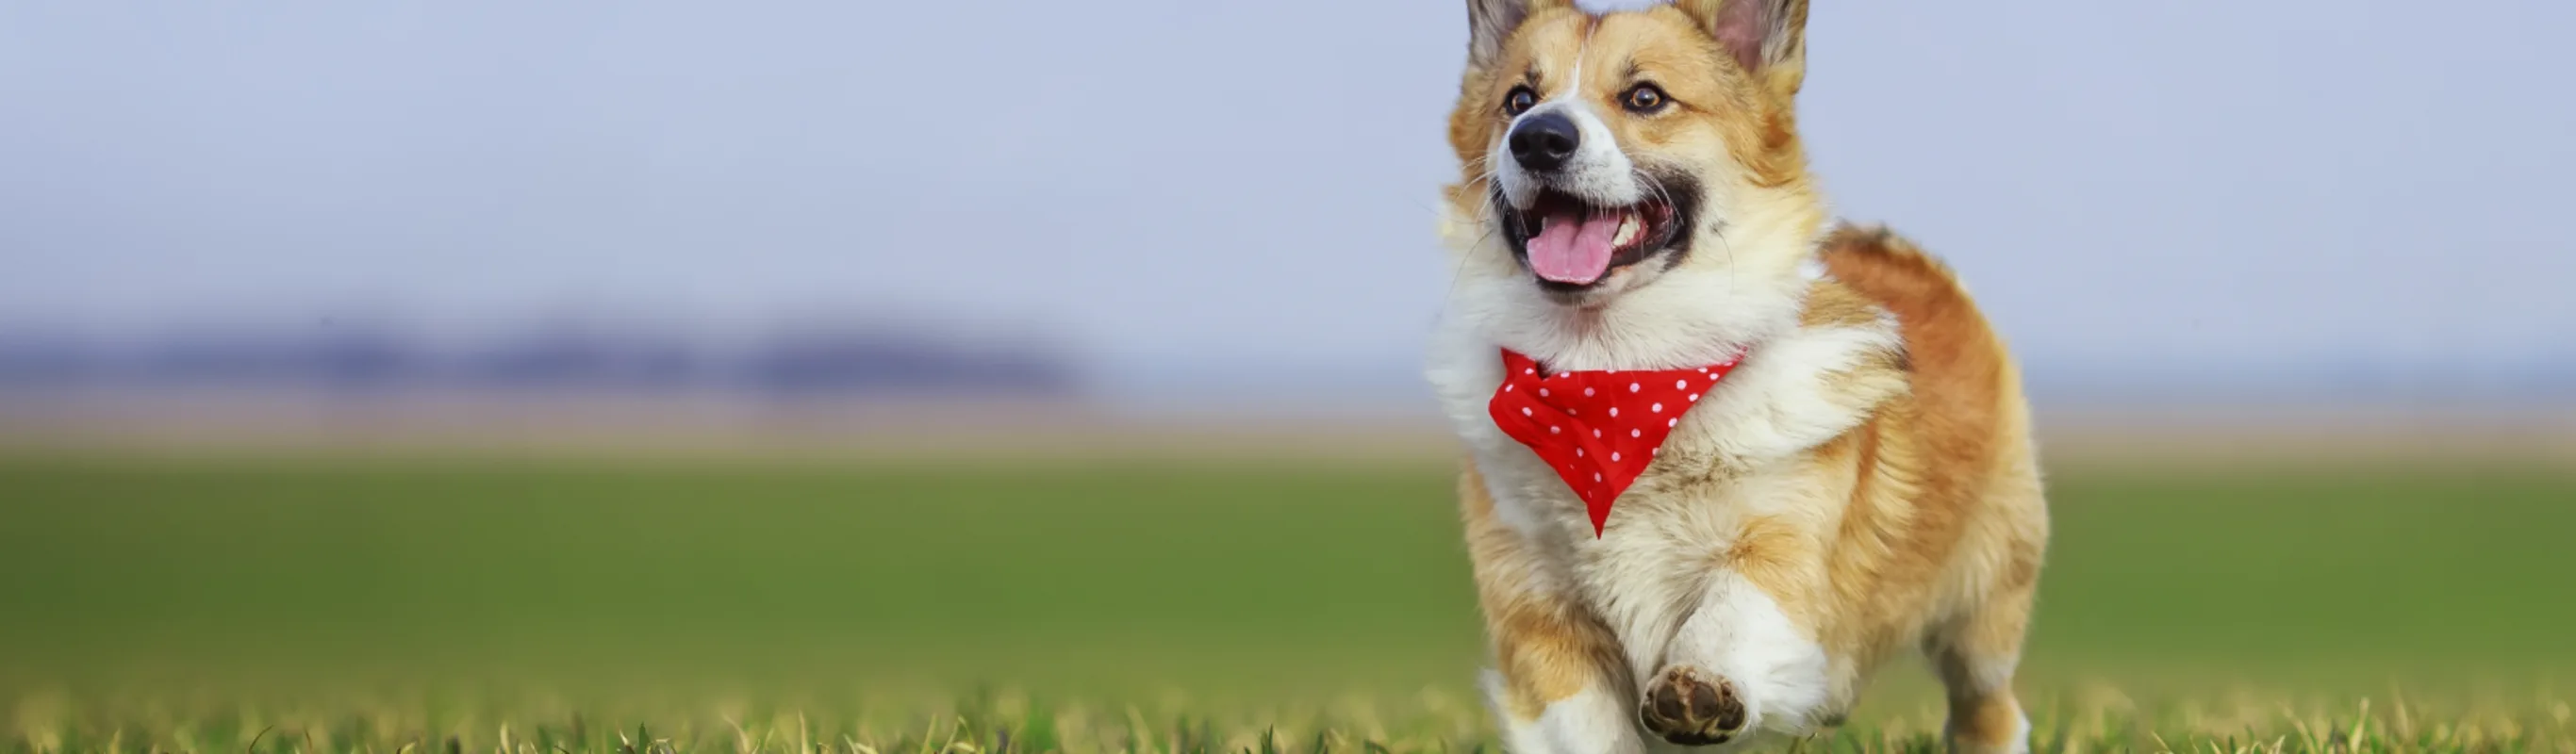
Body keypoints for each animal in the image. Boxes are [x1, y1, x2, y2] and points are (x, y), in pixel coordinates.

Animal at [1431, 1, 2050, 751]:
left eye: (1645, 97)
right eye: (1519, 100)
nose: (1538, 139)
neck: (1616, 374)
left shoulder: (1786, 541)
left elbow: (1734, 604)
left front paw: (1699, 685)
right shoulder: (1536, 605)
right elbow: (1582, 722)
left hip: (1985, 603)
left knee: (1988, 703)